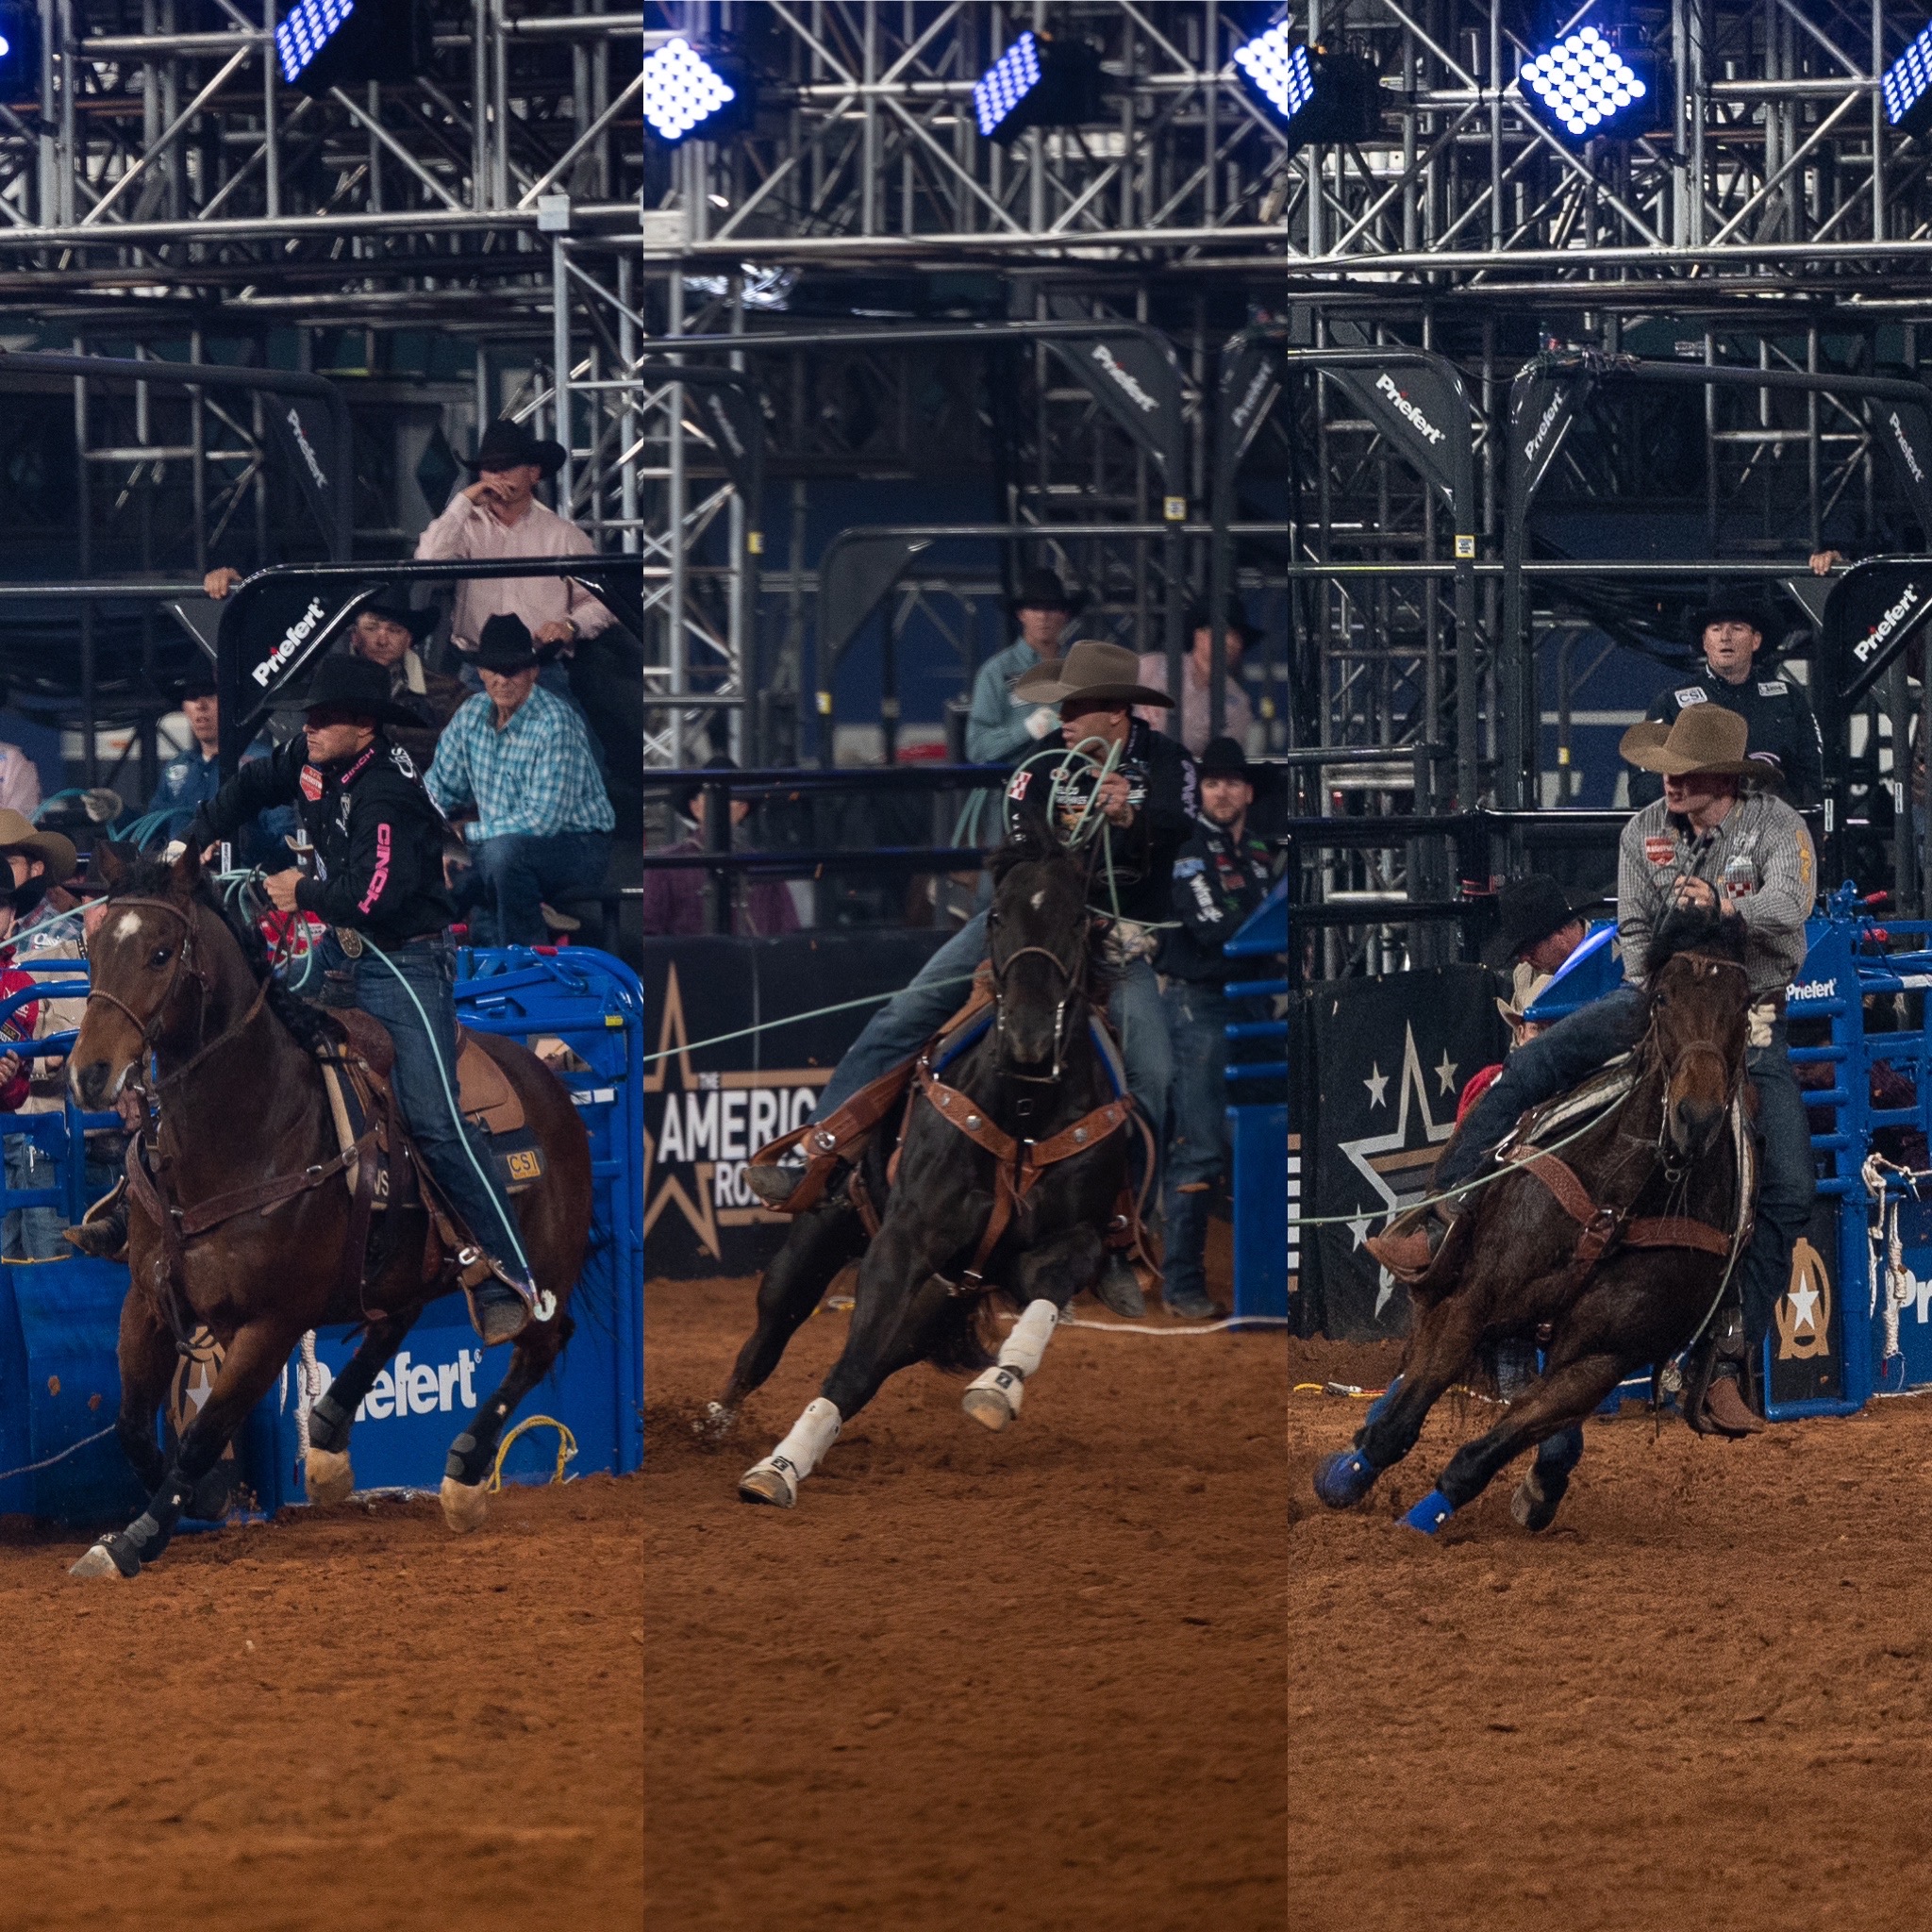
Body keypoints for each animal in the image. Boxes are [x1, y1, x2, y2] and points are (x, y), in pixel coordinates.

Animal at [64, 854, 591, 1576]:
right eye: (93, 951)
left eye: (161, 953)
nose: (90, 1075)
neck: (245, 1135)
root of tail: (550, 1085)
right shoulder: (146, 1298)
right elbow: (131, 1426)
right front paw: (199, 1497)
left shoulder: (271, 1324)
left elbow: (203, 1432)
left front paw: (137, 1538)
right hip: (401, 1261)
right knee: (394, 1320)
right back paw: (329, 1435)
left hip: (546, 1264)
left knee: (542, 1342)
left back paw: (463, 1475)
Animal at [714, 815, 1128, 1507]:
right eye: (996, 915)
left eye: (1078, 919)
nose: (1029, 1038)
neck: (1022, 1107)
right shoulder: (903, 1243)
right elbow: (849, 1365)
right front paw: (777, 1470)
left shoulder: (1061, 1242)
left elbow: (1046, 1292)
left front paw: (1000, 1386)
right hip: (818, 1242)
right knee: (766, 1340)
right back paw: (716, 1424)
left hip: (936, 1303)